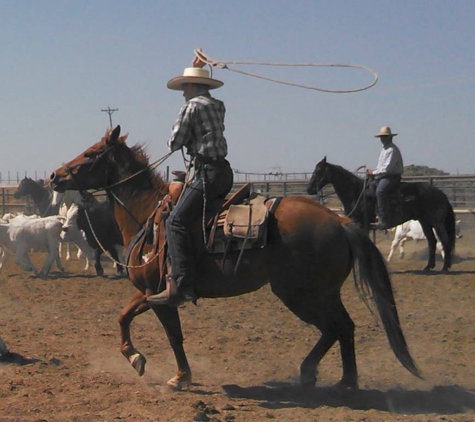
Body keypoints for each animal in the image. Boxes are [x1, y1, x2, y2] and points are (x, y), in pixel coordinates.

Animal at [50, 127, 422, 390]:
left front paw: (176, 375)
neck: (146, 215)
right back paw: (341, 379)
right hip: (322, 293)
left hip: (301, 295)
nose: (55, 175)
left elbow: (171, 334)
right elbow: (123, 316)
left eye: (91, 154)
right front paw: (137, 359)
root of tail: (339, 221)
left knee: (335, 326)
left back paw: (321, 375)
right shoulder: (149, 293)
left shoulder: (161, 294)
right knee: (343, 327)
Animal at [308, 157, 458, 272]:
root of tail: (441, 194)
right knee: (432, 241)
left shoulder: (363, 224)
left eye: (318, 171)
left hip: (437, 222)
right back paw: (428, 267)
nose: (309, 189)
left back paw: (445, 267)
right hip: (425, 221)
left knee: (444, 241)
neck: (357, 193)